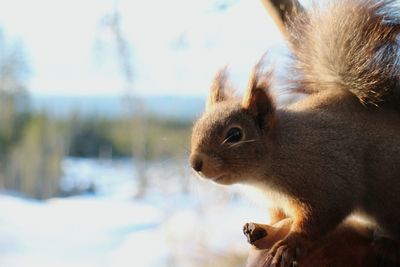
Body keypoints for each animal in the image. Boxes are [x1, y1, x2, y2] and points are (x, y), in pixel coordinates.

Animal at [190, 1, 400, 266]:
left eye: (235, 135)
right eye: (195, 129)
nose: (196, 163)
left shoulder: (327, 181)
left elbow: (317, 219)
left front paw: (290, 244)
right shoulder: (275, 202)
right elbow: (277, 218)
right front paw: (262, 227)